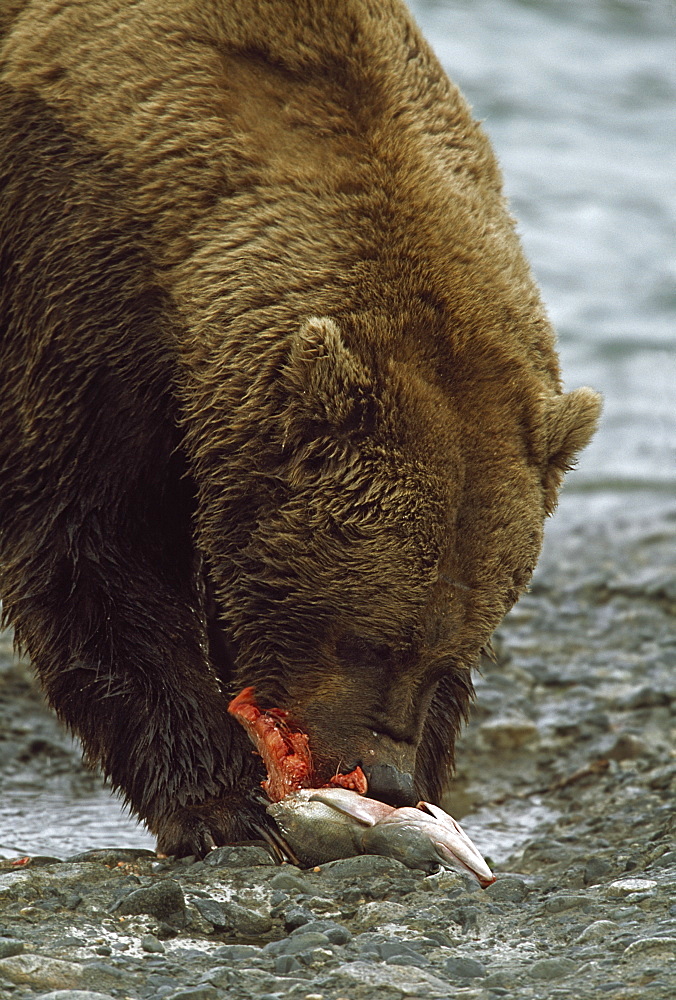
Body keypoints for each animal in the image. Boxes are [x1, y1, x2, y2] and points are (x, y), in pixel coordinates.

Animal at [1, 0, 604, 860]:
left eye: (450, 651)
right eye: (366, 638)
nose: (386, 775)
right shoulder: (78, 278)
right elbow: (89, 546)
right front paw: (222, 804)